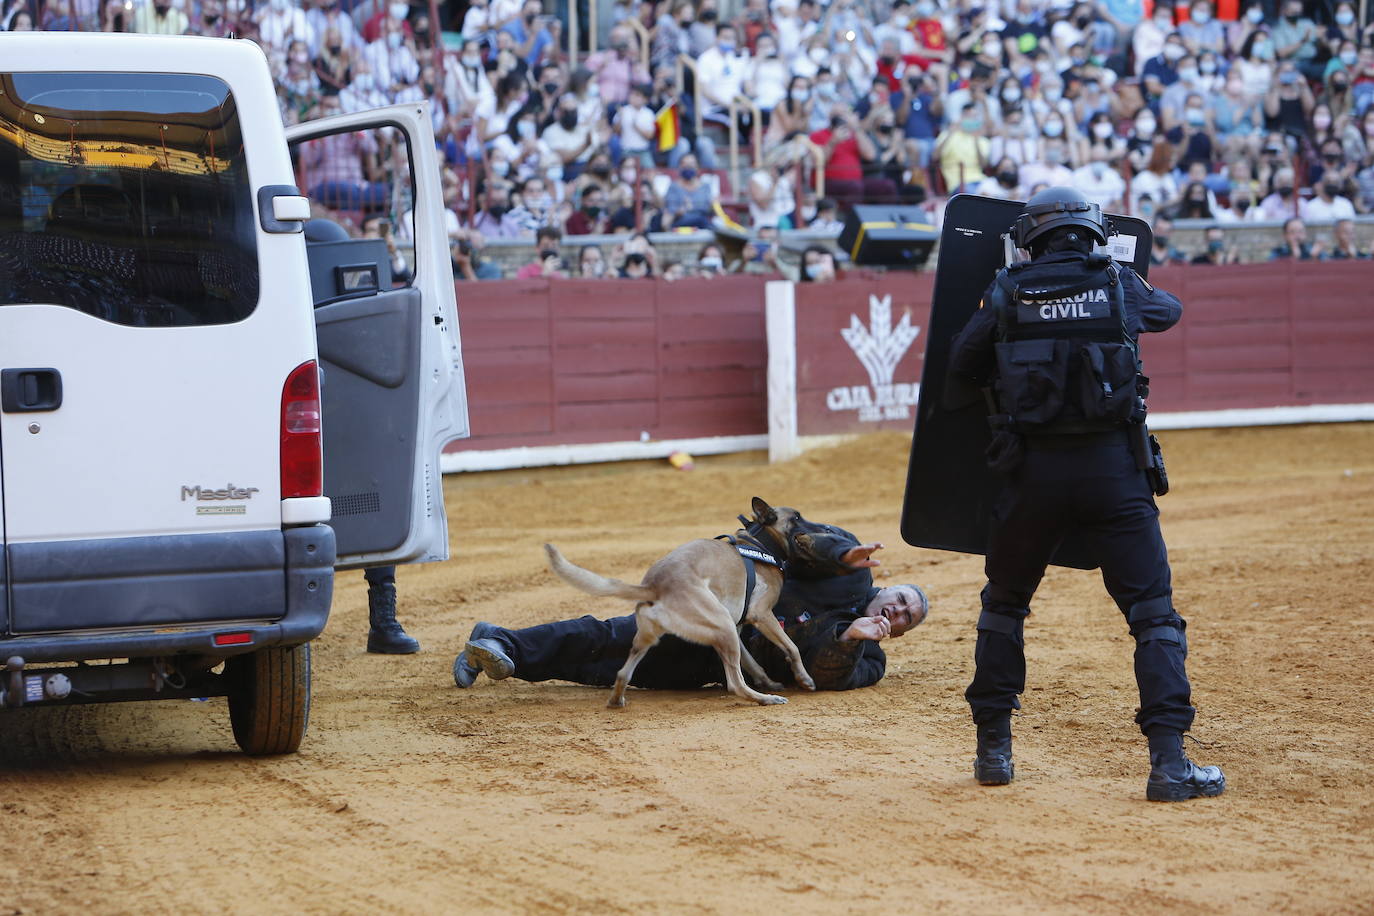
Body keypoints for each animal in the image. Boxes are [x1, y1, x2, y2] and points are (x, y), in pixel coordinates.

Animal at [541, 502, 807, 708]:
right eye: (797, 517)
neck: (758, 543)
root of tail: (655, 586)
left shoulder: (738, 627)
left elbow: (752, 662)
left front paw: (770, 682)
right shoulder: (761, 615)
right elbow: (792, 647)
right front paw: (804, 679)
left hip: (654, 639)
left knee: (622, 673)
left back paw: (616, 701)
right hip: (722, 626)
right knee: (735, 685)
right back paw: (765, 699)